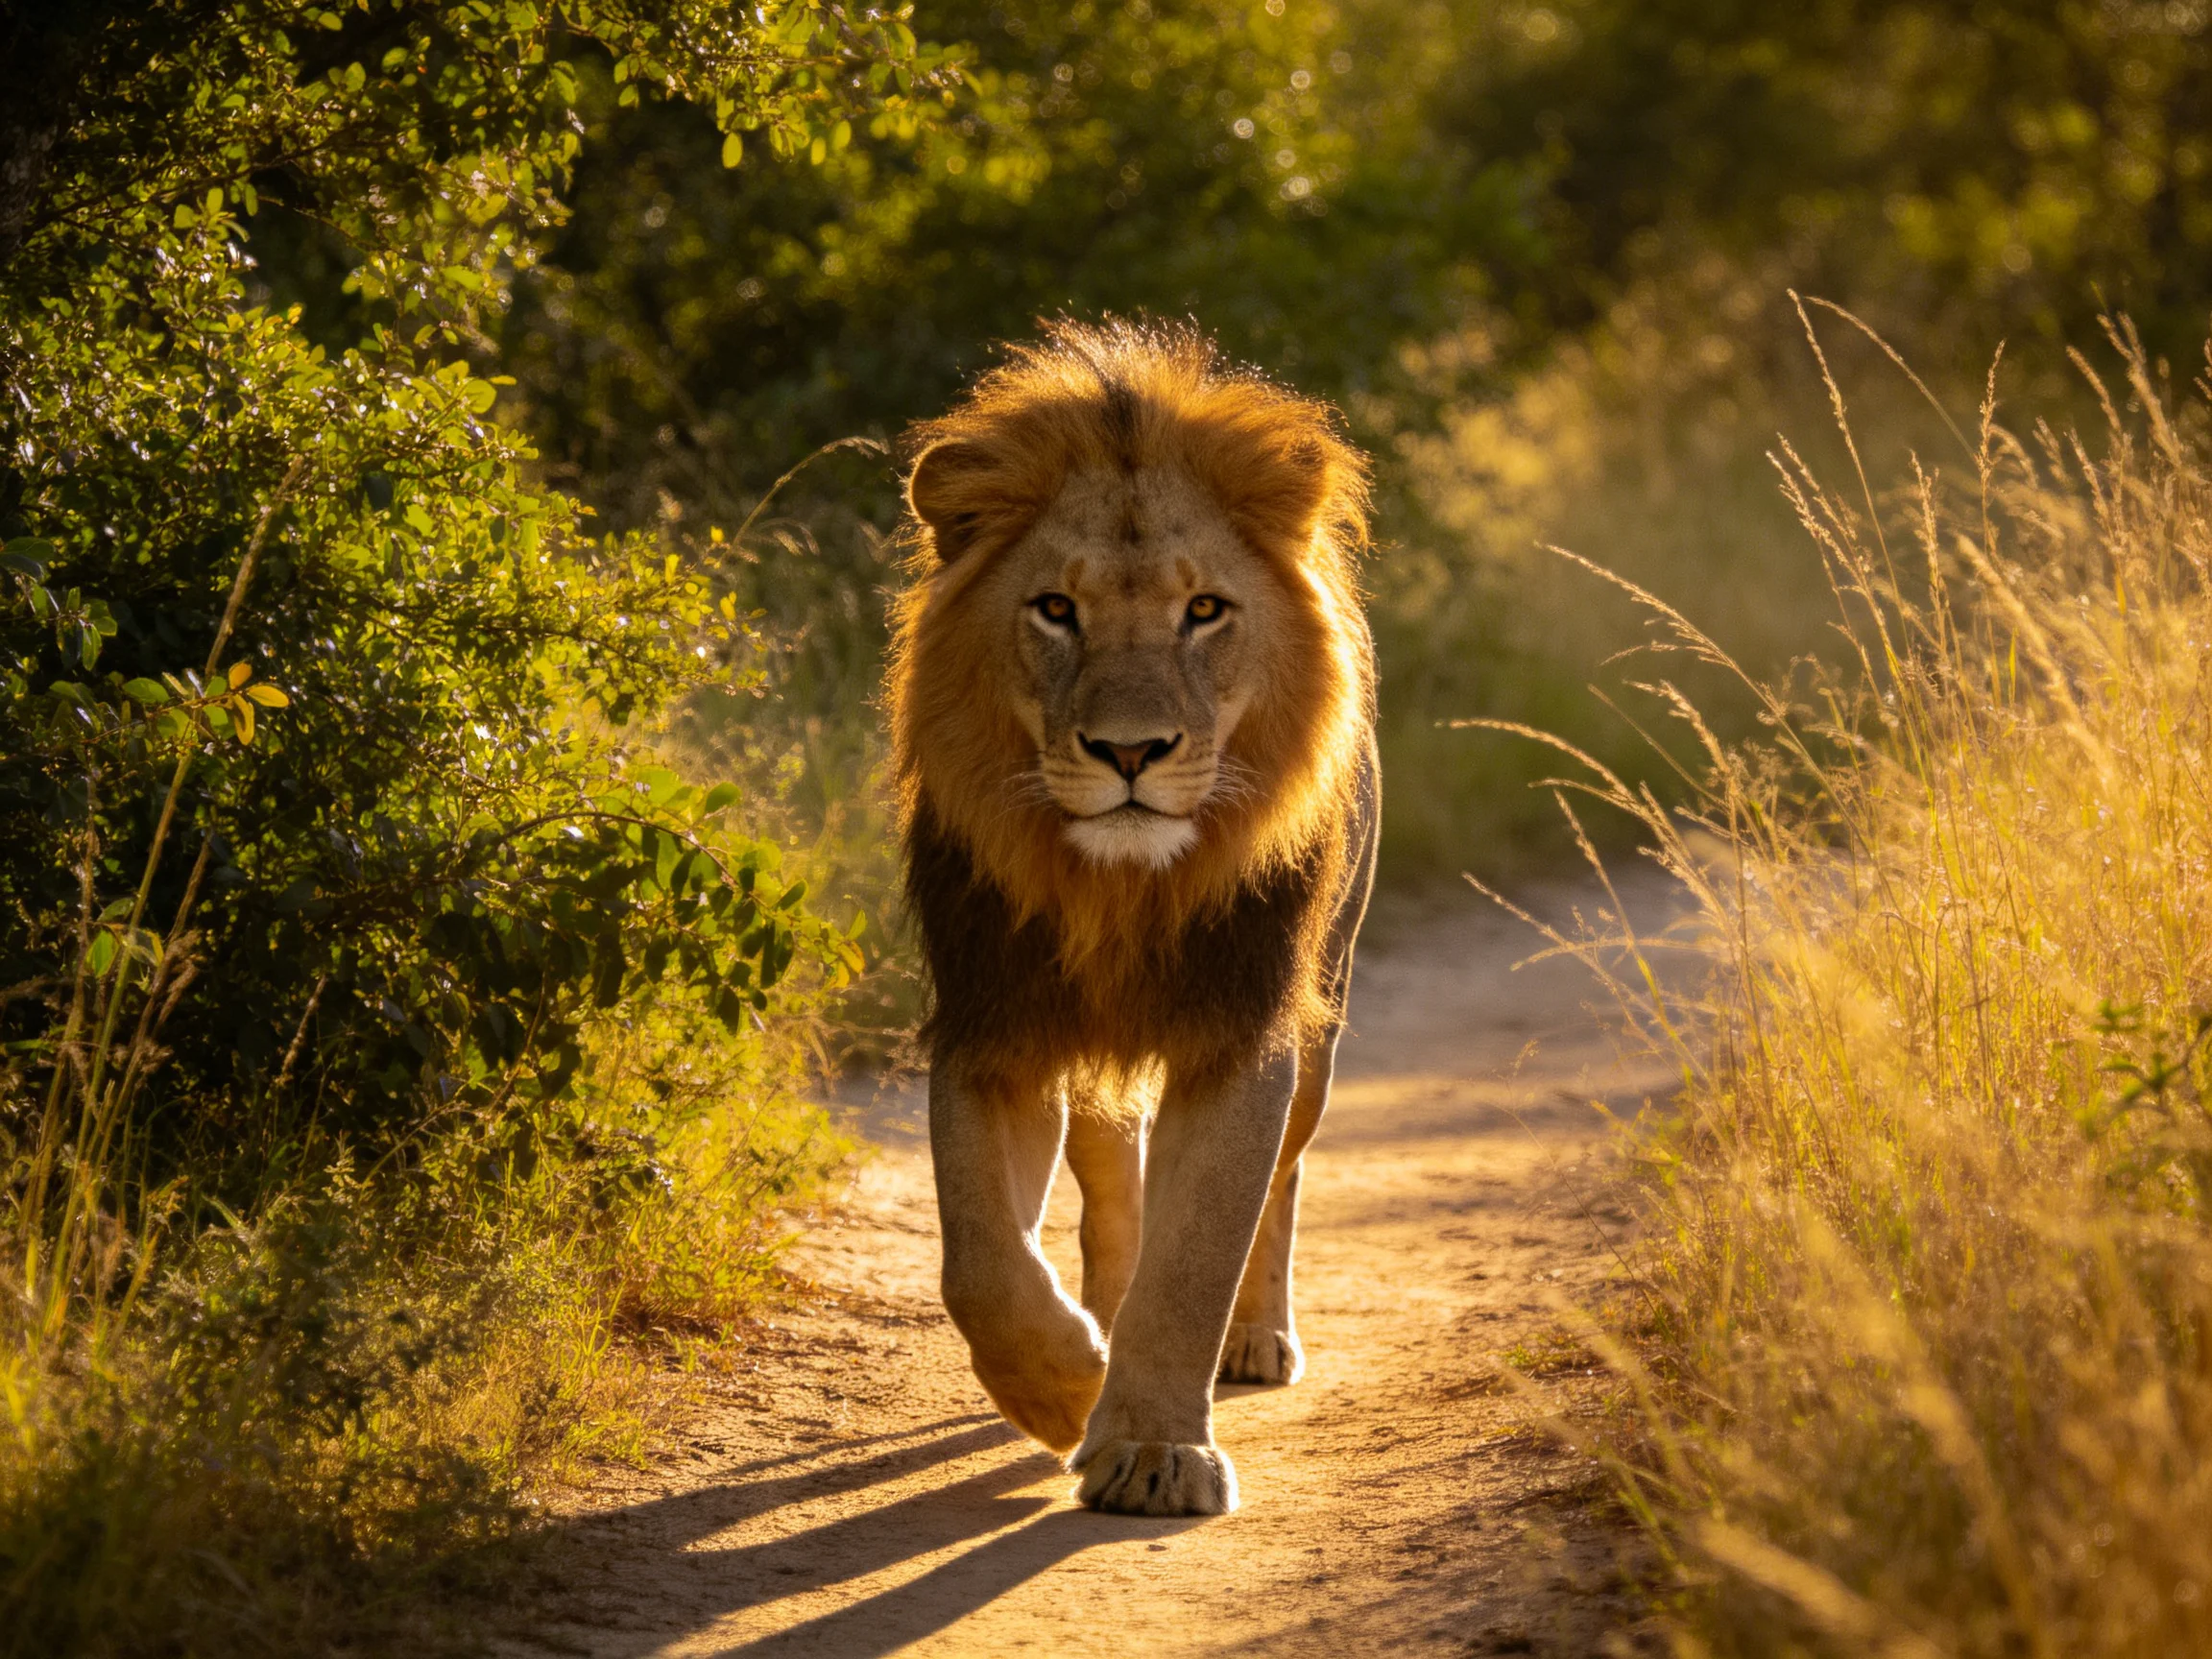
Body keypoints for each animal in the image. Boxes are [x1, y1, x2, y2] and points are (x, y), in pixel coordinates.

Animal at [888, 319, 1379, 1517]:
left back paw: (1253, 1337)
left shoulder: (1244, 1029)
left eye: (1204, 610)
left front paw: (1155, 1452)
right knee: (1112, 1187)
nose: (1129, 753)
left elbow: (1199, 1249)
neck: (1122, 889)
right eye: (1055, 609)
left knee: (1281, 1186)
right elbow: (978, 1257)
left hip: (1324, 1018)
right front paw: (1069, 1389)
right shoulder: (995, 1023)